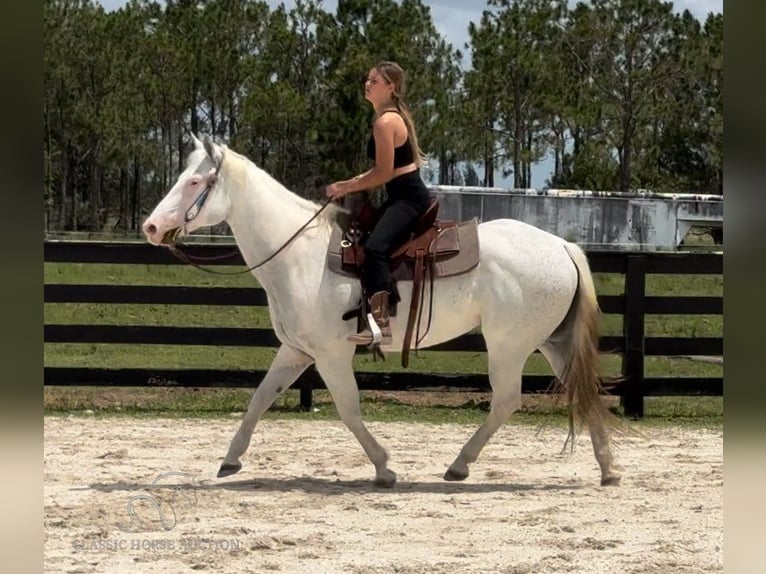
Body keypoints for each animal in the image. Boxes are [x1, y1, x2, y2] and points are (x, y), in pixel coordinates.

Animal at [144, 136, 624, 490]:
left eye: (195, 182)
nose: (151, 227)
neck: (300, 253)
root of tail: (561, 246)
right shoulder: (297, 351)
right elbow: (259, 398)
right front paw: (230, 460)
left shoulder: (331, 355)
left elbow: (349, 409)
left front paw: (384, 468)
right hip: (552, 342)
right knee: (583, 389)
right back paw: (608, 469)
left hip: (509, 344)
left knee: (507, 400)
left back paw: (459, 465)